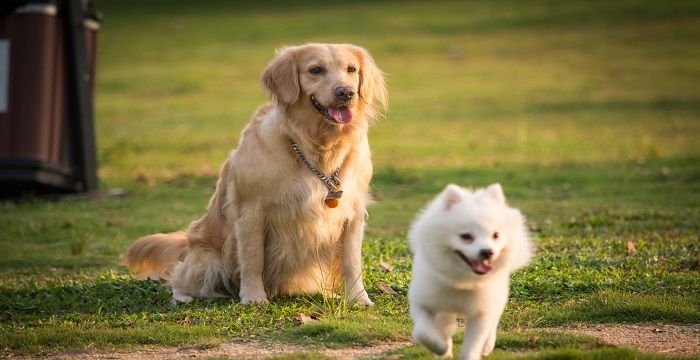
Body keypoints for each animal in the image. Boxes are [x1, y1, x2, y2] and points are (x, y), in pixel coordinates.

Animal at [408, 184, 532, 358]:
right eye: (466, 236)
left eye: (496, 235)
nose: (487, 252)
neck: (463, 281)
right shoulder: (423, 302)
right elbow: (423, 333)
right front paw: (441, 348)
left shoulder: (481, 313)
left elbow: (473, 346)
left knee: (493, 322)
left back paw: (487, 346)